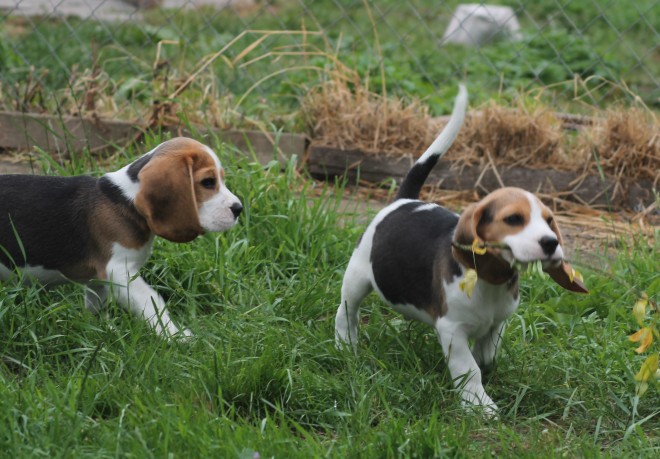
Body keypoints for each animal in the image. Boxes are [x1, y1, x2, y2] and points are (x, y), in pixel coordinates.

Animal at [0, 137, 242, 338]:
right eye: (208, 182)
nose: (238, 209)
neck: (128, 200)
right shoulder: (119, 271)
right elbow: (152, 301)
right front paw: (177, 336)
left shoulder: (98, 280)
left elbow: (97, 305)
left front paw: (102, 331)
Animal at [336, 85, 588, 416]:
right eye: (513, 219)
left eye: (549, 221)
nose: (551, 242)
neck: (490, 282)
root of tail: (403, 200)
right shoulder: (452, 329)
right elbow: (469, 368)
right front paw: (479, 404)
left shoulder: (497, 324)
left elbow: (486, 356)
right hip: (357, 277)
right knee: (346, 312)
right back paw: (344, 345)